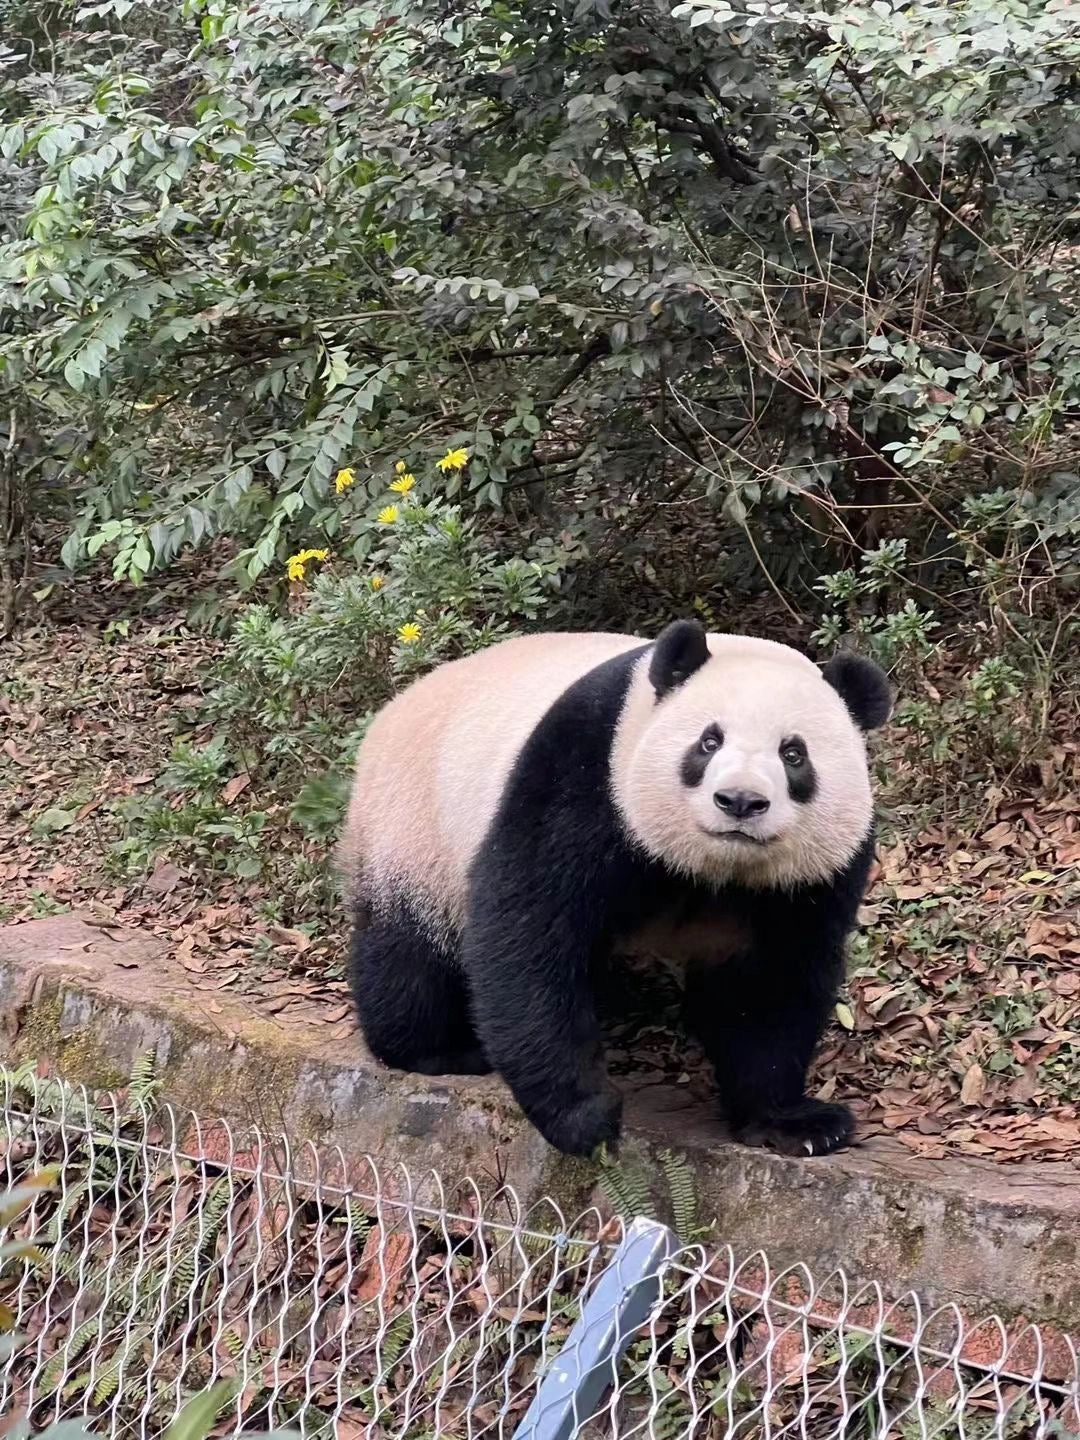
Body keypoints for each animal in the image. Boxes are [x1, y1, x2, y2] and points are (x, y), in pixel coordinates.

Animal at [342, 619, 892, 1157]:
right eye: (708, 742)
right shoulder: (589, 778)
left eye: (793, 754)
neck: (714, 869)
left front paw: (793, 1123)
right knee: (410, 948)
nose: (739, 801)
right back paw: (434, 1048)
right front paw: (585, 1116)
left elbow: (769, 982)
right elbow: (529, 934)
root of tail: (397, 704)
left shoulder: (808, 880)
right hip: (417, 826)